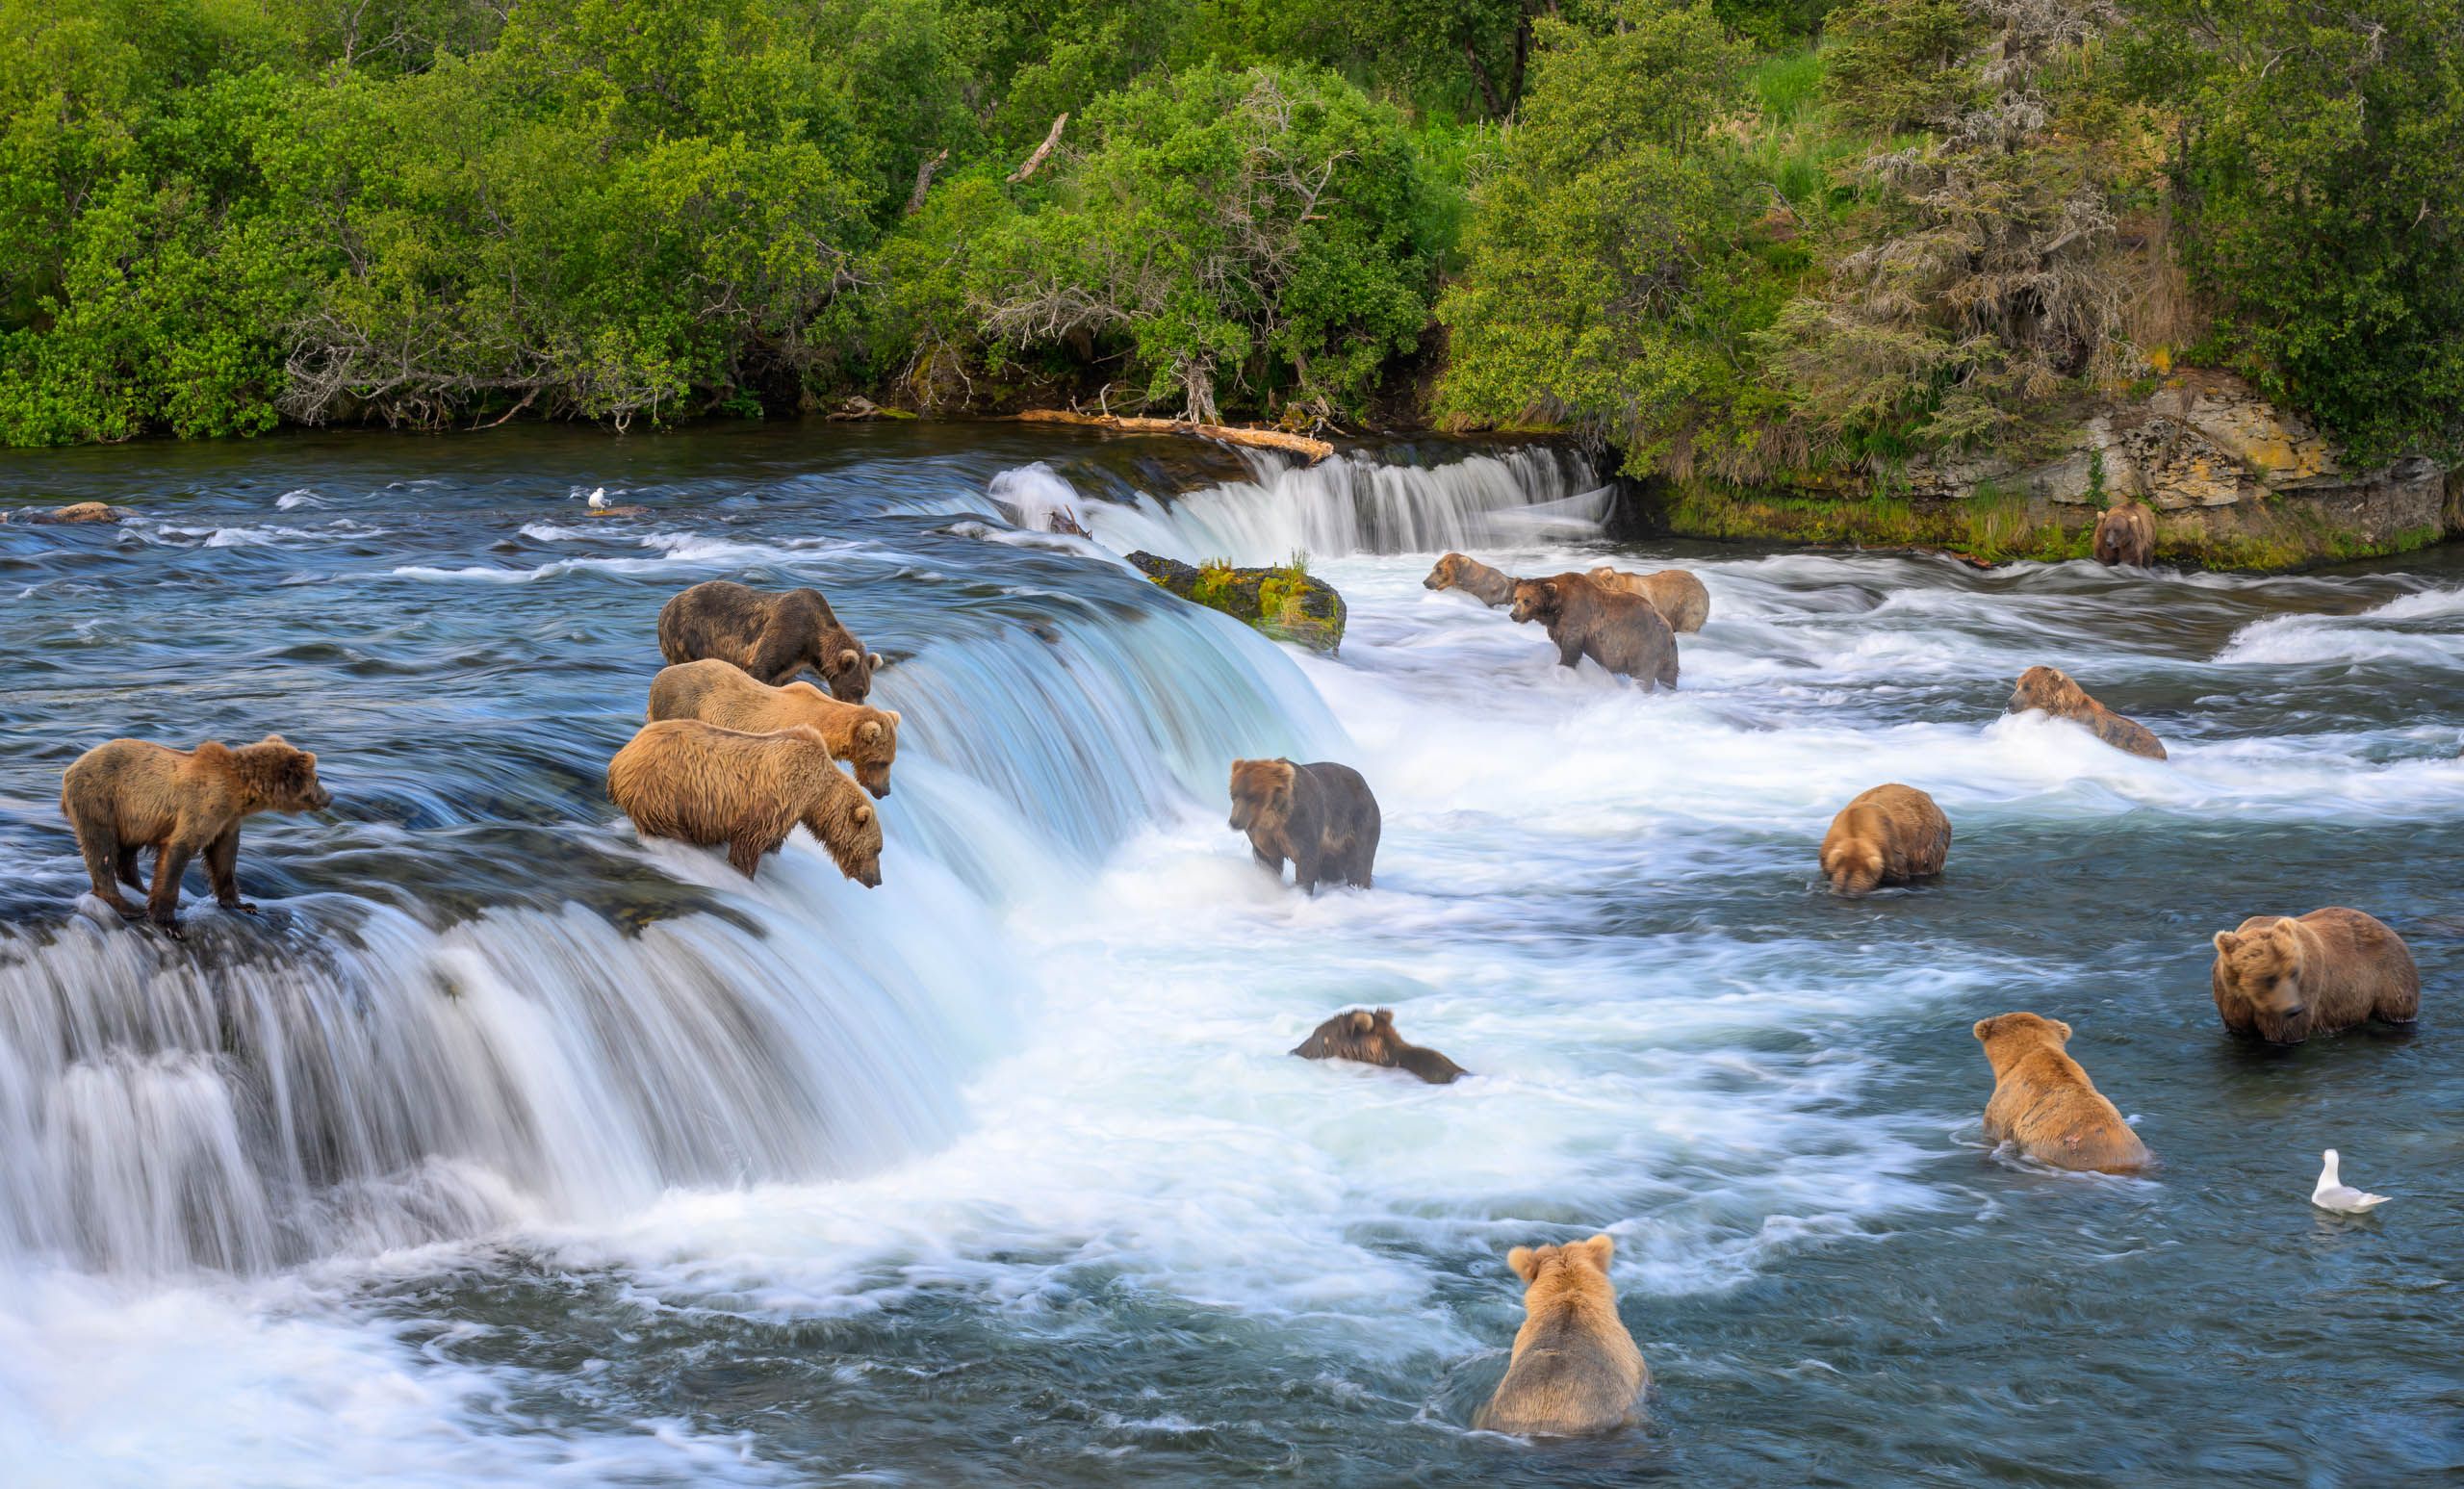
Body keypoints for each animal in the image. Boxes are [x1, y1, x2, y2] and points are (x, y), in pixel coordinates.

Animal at [59, 734, 333, 938]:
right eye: (317, 778)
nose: (329, 797)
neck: (240, 792)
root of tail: (69, 768)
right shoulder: (202, 807)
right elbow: (178, 852)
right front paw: (170, 923)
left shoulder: (227, 820)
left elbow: (223, 857)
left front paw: (244, 904)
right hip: (101, 798)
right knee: (101, 848)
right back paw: (125, 905)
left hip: (131, 816)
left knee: (126, 852)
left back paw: (139, 887)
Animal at [606, 719, 882, 885]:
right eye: (877, 849)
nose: (876, 880)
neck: (816, 793)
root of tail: (619, 758)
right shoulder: (777, 797)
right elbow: (749, 841)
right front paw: (744, 872)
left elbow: (772, 840)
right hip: (661, 789)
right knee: (667, 828)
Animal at [657, 580, 881, 702]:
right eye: (857, 689)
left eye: (866, 691)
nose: (859, 705)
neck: (811, 643)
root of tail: (666, 606)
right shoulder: (784, 631)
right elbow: (760, 670)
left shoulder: (792, 662)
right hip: (688, 635)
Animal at [1227, 758, 1380, 892]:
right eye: (1234, 794)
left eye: (1252, 796)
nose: (1234, 821)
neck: (1274, 818)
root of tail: (1366, 785)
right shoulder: (1262, 834)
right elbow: (1267, 860)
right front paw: (1269, 884)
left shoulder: (1298, 822)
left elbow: (1305, 857)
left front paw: (1301, 890)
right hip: (1332, 845)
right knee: (1331, 868)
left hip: (1358, 819)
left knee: (1359, 860)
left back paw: (1357, 886)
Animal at [2209, 907, 2419, 1044]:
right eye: (2269, 977)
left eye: (2294, 972)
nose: (2293, 1009)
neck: (2253, 999)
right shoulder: (2231, 1000)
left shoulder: (2305, 989)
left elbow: (2287, 1033)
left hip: (2389, 977)